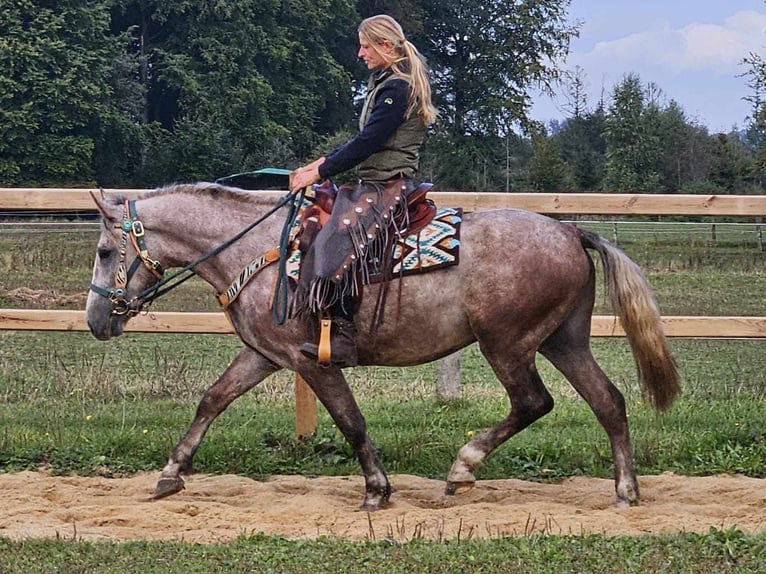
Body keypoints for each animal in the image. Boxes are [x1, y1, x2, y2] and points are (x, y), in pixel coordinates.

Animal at [87, 183, 680, 512]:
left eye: (104, 252)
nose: (96, 320)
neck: (263, 252)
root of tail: (571, 231)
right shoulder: (264, 354)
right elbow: (212, 399)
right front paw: (171, 473)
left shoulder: (311, 361)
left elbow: (351, 421)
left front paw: (376, 489)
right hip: (564, 341)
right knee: (608, 402)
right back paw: (626, 491)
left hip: (508, 345)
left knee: (534, 402)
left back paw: (463, 467)